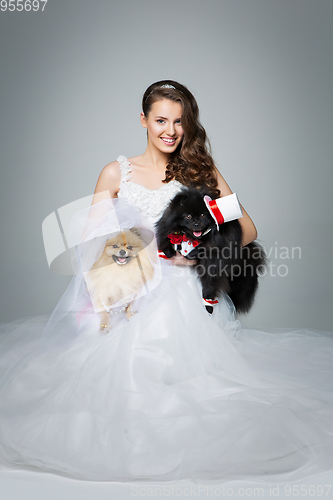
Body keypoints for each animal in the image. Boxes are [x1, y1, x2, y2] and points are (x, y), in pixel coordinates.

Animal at [154, 186, 266, 314]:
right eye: (188, 216)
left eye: (203, 215)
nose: (196, 223)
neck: (192, 238)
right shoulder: (166, 229)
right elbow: (165, 239)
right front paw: (169, 251)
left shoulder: (214, 262)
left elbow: (209, 286)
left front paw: (208, 307)